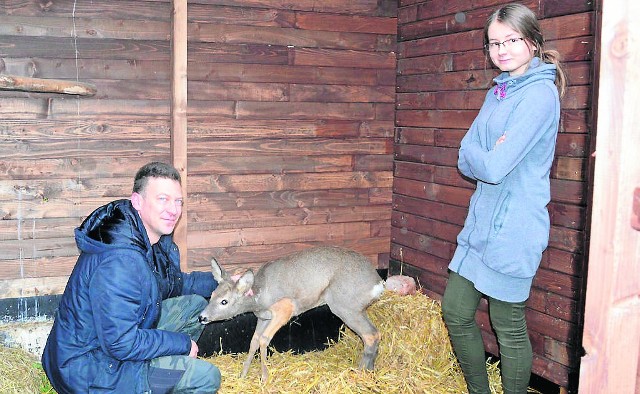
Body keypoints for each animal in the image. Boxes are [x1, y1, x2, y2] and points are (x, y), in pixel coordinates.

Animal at [198, 246, 382, 382]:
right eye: (212, 295)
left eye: (224, 302)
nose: (202, 317)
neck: (260, 296)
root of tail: (378, 283)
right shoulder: (263, 317)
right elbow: (254, 341)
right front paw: (243, 375)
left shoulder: (284, 309)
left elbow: (264, 340)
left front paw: (264, 378)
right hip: (354, 308)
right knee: (374, 333)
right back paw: (369, 370)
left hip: (345, 305)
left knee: (371, 334)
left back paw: (362, 371)